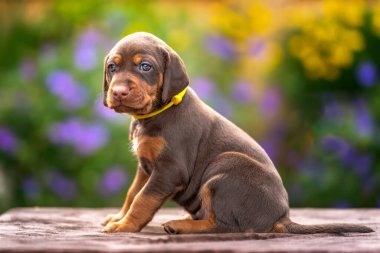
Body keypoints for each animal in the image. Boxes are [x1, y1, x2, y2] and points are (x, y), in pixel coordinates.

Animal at [100, 32, 372, 235]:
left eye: (145, 66)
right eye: (112, 67)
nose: (119, 92)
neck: (155, 114)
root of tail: (281, 217)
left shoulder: (169, 169)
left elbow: (143, 199)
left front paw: (124, 225)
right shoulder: (146, 167)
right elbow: (132, 193)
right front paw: (118, 217)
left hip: (224, 168)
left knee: (225, 225)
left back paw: (179, 225)